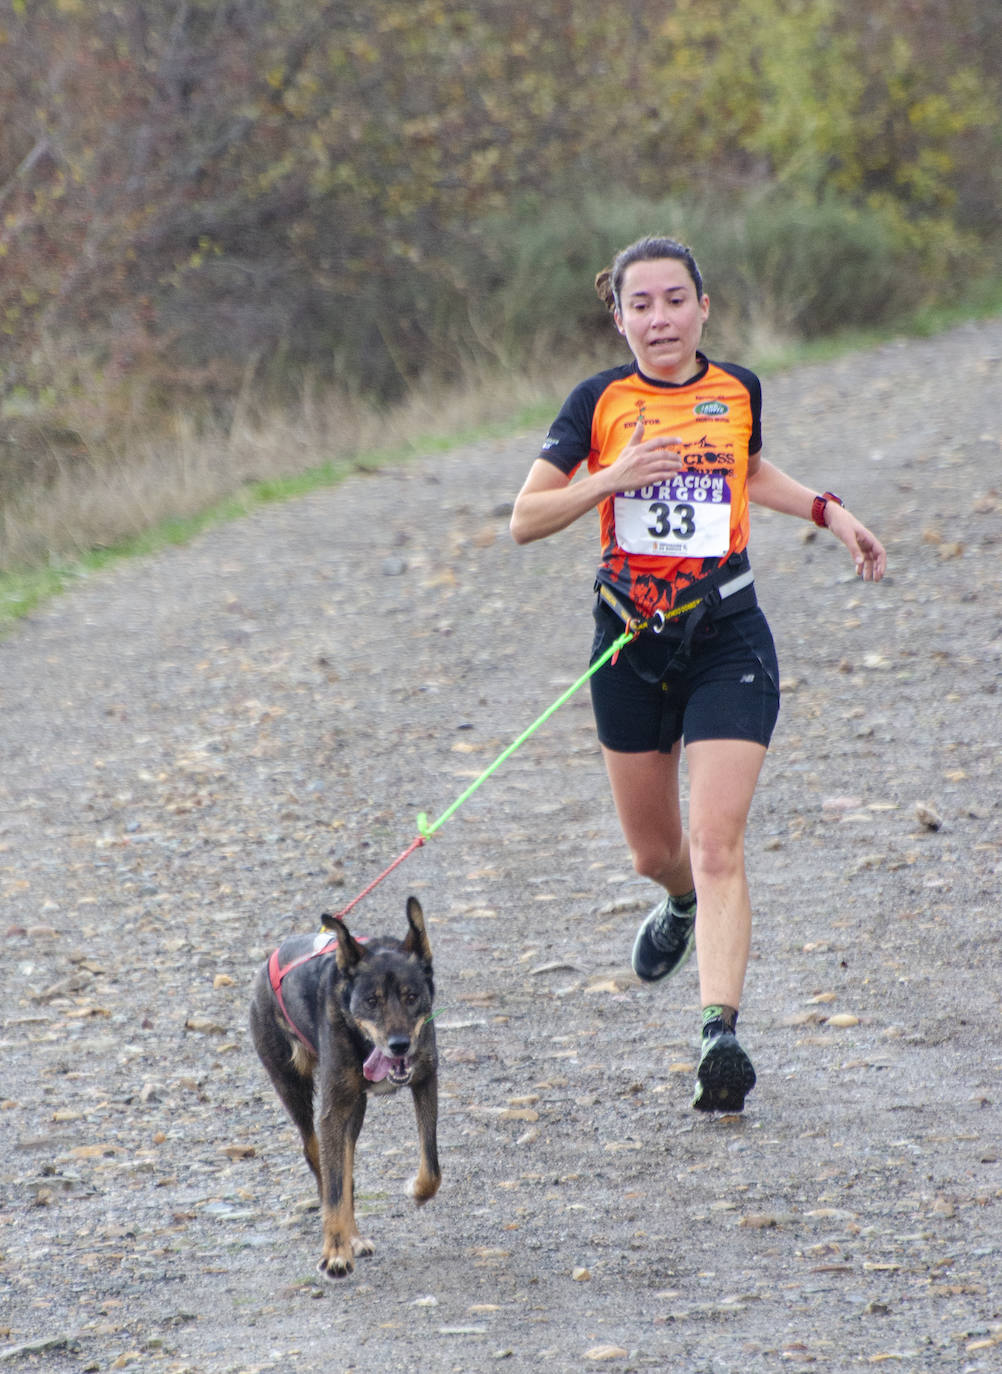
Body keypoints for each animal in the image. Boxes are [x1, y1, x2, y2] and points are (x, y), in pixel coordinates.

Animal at [248, 901, 439, 1275]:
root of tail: (269, 961)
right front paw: (335, 1251)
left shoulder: (426, 1080)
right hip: (293, 1087)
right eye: (371, 1001)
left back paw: (354, 1236)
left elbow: (431, 1166)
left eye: (411, 996)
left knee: (346, 1166)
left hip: (355, 1108)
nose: (399, 1045)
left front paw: (417, 1190)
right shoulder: (332, 1113)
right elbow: (335, 1189)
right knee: (321, 1162)